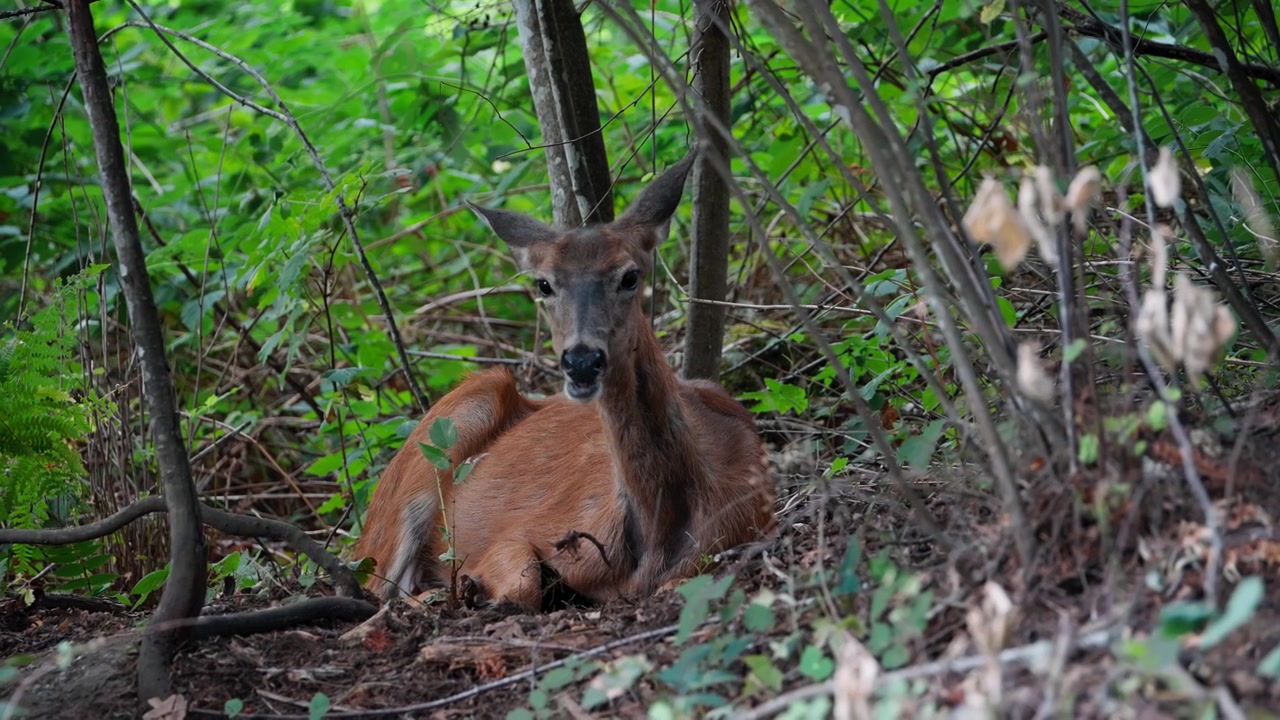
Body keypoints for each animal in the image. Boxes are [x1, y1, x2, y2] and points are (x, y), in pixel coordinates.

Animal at [354, 152, 776, 610]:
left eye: (630, 276)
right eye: (544, 284)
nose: (582, 361)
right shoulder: (523, 530)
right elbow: (522, 584)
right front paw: (475, 587)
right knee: (377, 586)